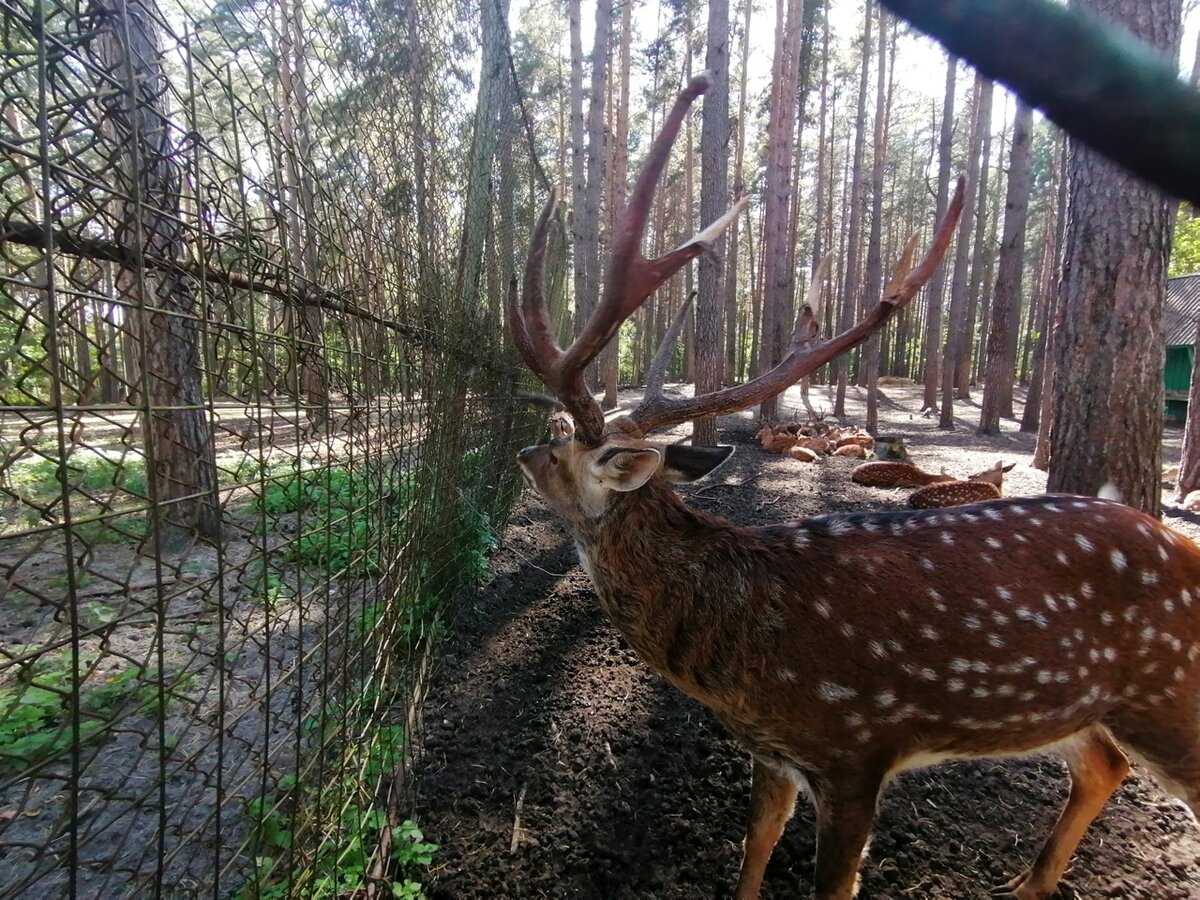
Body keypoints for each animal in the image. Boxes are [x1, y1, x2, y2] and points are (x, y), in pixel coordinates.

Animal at [506, 72, 1200, 900]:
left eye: (560, 447)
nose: (522, 450)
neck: (739, 658)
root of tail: (1186, 549)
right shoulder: (772, 750)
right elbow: (756, 845)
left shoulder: (855, 749)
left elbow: (832, 882)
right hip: (1075, 707)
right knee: (1103, 765)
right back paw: (1025, 884)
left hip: (1172, 695)